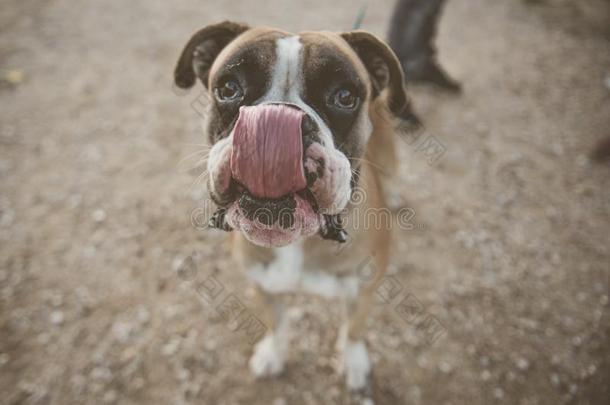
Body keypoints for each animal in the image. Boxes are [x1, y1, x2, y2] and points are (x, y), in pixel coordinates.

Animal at [173, 21, 416, 394]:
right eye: (229, 88)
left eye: (344, 96)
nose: (277, 118)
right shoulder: (263, 286)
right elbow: (276, 323)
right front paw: (273, 354)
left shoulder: (364, 290)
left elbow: (354, 330)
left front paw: (354, 363)